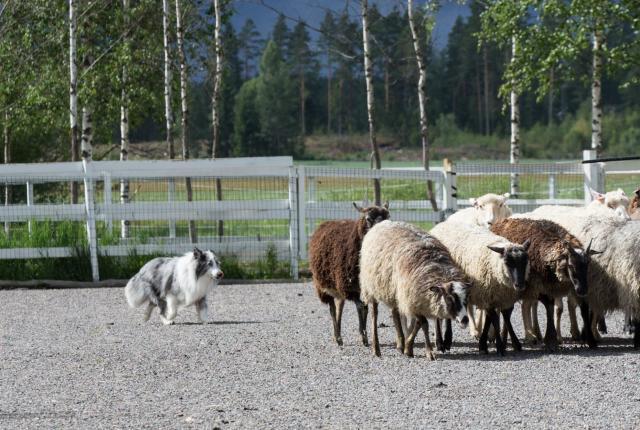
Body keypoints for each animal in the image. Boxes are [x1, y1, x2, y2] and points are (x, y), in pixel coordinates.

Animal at [308, 202, 390, 346]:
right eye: (368, 218)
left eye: (388, 217)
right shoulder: (349, 287)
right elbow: (360, 307)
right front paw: (363, 334)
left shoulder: (363, 289)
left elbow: (365, 308)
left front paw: (364, 335)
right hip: (324, 285)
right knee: (332, 309)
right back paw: (338, 337)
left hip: (338, 286)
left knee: (340, 306)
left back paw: (339, 334)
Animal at [360, 222, 470, 360]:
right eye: (449, 299)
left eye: (466, 299)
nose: (465, 320)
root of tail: (382, 223)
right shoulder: (411, 299)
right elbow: (424, 324)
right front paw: (429, 352)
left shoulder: (416, 300)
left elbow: (417, 324)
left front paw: (408, 348)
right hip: (371, 287)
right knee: (374, 315)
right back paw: (376, 349)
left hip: (394, 291)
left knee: (395, 313)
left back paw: (401, 343)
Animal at [430, 220, 528, 354]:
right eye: (507, 262)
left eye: (525, 262)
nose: (520, 284)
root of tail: (442, 223)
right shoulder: (487, 294)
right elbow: (493, 318)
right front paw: (498, 346)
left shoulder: (501, 297)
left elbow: (503, 317)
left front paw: (513, 343)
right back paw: (443, 342)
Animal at [490, 217, 600, 352]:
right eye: (570, 265)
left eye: (588, 264)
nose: (583, 290)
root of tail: (500, 221)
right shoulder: (540, 286)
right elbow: (549, 308)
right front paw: (551, 339)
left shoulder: (560, 287)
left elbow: (581, 309)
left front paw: (591, 340)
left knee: (519, 307)